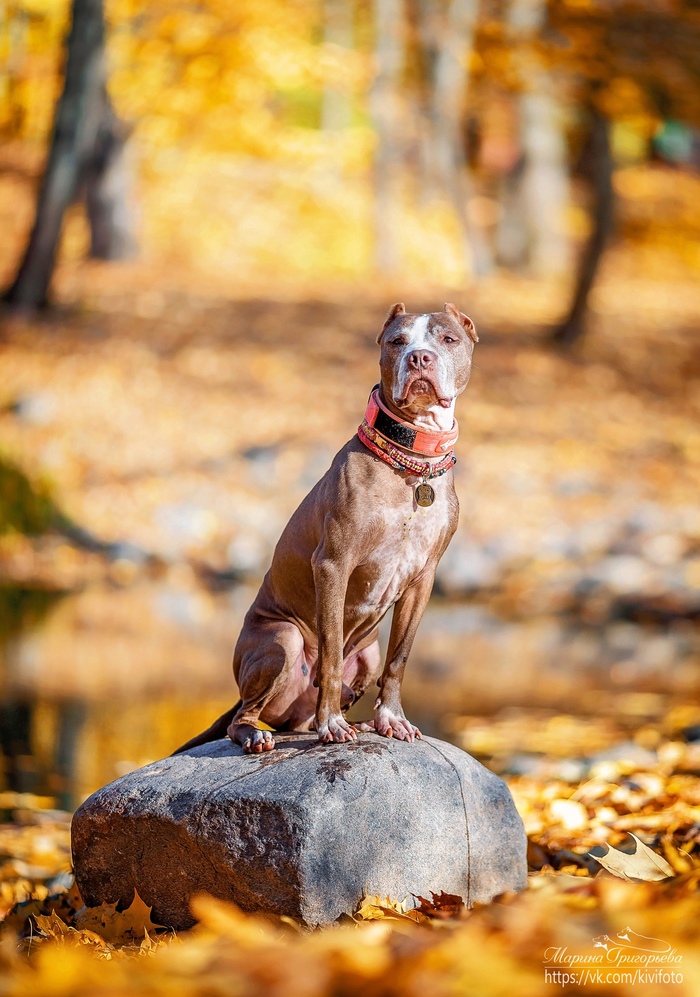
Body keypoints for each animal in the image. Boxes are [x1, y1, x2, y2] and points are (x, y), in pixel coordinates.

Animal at [175, 304, 478, 756]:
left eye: (448, 339)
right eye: (397, 341)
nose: (419, 358)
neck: (412, 462)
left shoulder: (422, 580)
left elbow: (400, 657)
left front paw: (391, 719)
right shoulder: (334, 565)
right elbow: (332, 653)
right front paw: (332, 724)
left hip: (366, 654)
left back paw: (358, 721)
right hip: (282, 639)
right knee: (243, 716)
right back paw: (262, 734)